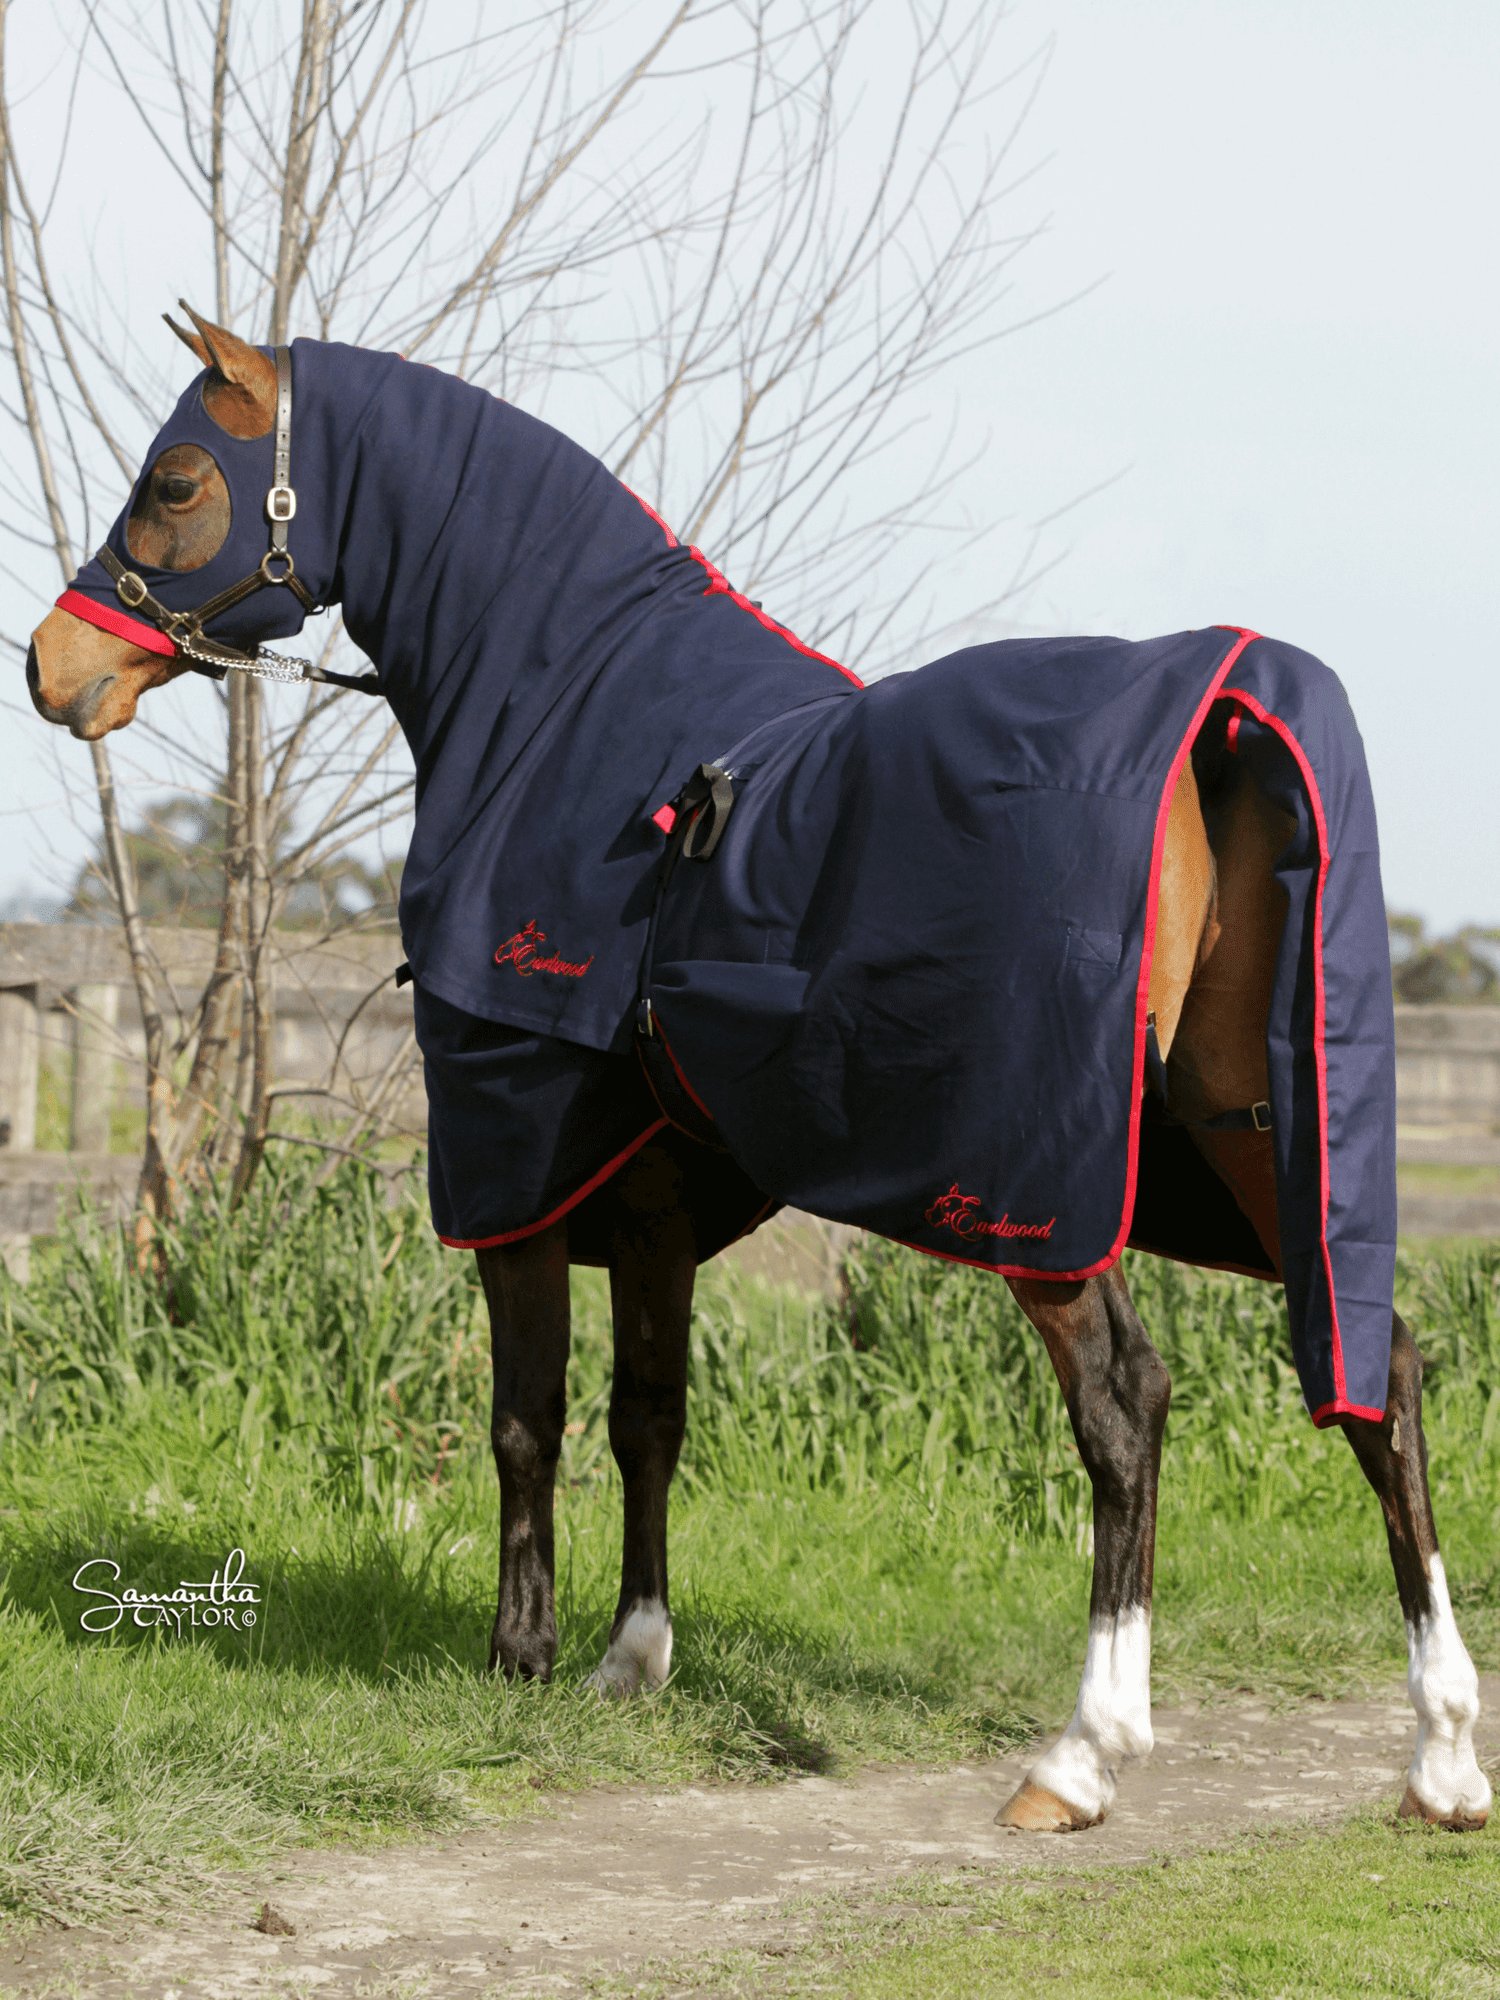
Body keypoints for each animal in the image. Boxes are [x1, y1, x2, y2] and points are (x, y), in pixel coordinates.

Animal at [25, 305, 1490, 1834]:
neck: (573, 727)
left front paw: (519, 1657)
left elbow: (526, 1420)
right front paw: (631, 1657)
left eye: (179, 480)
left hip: (1046, 1192)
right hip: (1255, 1134)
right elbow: (648, 1418)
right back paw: (1443, 1755)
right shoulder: (654, 1204)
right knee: (1383, 1369)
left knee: (1126, 1405)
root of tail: (1216, 722)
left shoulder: (513, 1173)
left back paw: (1083, 1754)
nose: (53, 667)